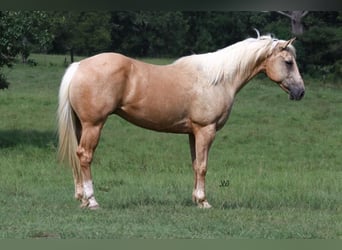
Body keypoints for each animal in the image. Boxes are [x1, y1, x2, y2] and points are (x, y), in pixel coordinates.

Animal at [58, 34, 304, 208]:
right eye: (289, 62)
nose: (300, 92)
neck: (217, 79)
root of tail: (79, 66)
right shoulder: (206, 130)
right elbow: (203, 166)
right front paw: (204, 201)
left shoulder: (193, 133)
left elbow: (195, 165)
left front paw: (196, 199)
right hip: (94, 125)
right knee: (85, 156)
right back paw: (92, 200)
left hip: (81, 125)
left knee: (78, 156)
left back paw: (81, 198)